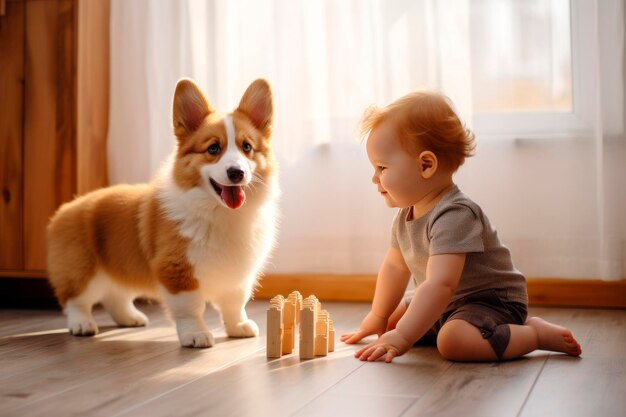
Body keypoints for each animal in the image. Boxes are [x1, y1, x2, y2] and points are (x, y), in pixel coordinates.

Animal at [46, 78, 276, 348]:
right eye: (213, 149)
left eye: (247, 147)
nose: (237, 172)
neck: (218, 211)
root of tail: (64, 209)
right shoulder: (177, 270)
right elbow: (191, 308)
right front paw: (195, 335)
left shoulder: (237, 275)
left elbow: (235, 304)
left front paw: (239, 326)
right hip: (83, 270)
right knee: (75, 299)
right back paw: (82, 324)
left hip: (120, 264)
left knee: (116, 294)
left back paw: (130, 318)